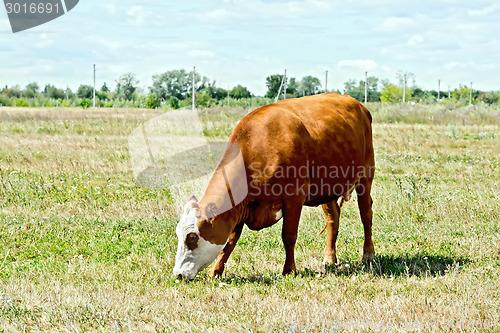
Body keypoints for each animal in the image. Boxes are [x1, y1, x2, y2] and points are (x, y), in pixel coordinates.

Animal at [174, 92, 374, 278]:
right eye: (178, 234)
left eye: (192, 236)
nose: (178, 274)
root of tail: (353, 101)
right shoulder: (239, 207)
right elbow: (230, 241)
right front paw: (216, 270)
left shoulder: (294, 197)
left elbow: (288, 235)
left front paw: (289, 269)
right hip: (328, 189)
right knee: (333, 219)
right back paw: (329, 259)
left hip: (365, 176)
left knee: (366, 214)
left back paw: (368, 254)